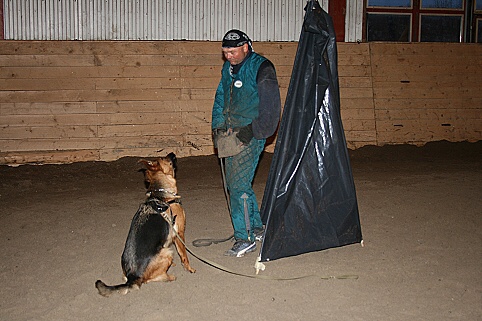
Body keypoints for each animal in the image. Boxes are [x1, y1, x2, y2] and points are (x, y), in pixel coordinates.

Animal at [95, 151, 195, 296]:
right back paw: (169, 276)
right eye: (164, 158)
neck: (162, 196)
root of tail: (132, 277)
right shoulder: (179, 233)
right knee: (150, 279)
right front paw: (189, 268)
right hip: (167, 252)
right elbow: (184, 255)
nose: (172, 153)